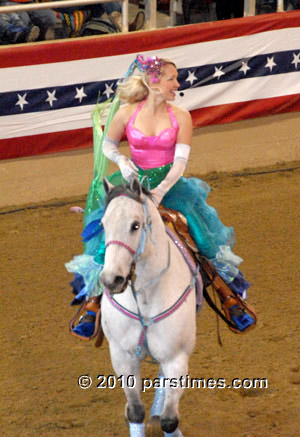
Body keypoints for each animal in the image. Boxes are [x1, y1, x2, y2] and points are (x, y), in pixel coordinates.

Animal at [100, 179, 202, 434]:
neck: (145, 298)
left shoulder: (176, 357)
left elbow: (169, 420)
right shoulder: (121, 356)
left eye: (135, 225)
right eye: (103, 224)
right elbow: (135, 411)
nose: (111, 280)